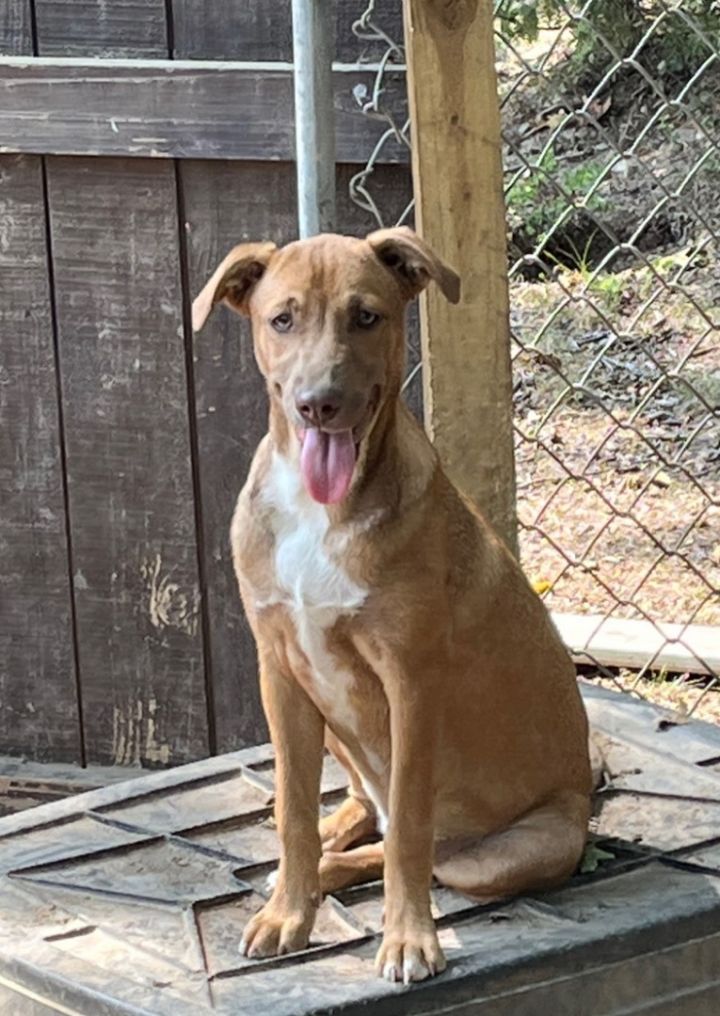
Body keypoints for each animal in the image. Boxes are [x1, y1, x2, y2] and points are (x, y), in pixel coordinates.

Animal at [190, 230, 588, 983]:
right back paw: (322, 852)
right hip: (328, 724)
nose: (318, 403)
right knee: (350, 808)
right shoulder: (279, 669)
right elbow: (292, 809)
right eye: (281, 319)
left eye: (367, 317)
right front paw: (290, 911)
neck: (318, 511)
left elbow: (407, 827)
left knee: (424, 852)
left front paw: (408, 939)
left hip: (514, 851)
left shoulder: (411, 682)